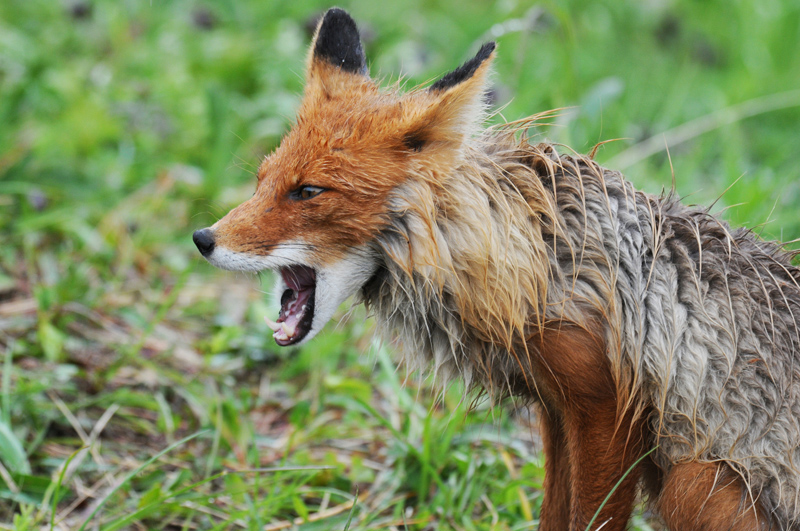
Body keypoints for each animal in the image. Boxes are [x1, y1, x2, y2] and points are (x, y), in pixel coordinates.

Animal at [194, 8, 800, 531]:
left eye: (308, 192)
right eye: (263, 180)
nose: (202, 239)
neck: (534, 259)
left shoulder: (607, 412)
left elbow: (591, 521)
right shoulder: (557, 410)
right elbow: (556, 517)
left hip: (691, 483)